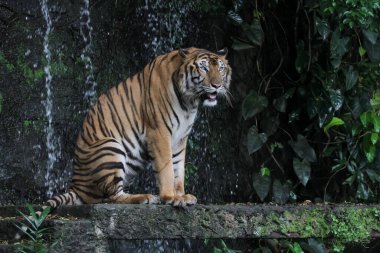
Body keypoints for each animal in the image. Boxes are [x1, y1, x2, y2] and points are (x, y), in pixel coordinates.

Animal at [46, 47, 232, 208]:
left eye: (221, 69)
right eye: (203, 68)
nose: (217, 85)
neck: (190, 101)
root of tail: (76, 185)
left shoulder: (181, 137)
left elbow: (178, 167)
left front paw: (181, 196)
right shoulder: (159, 132)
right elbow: (167, 168)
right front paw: (170, 197)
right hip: (110, 146)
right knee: (111, 196)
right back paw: (145, 197)